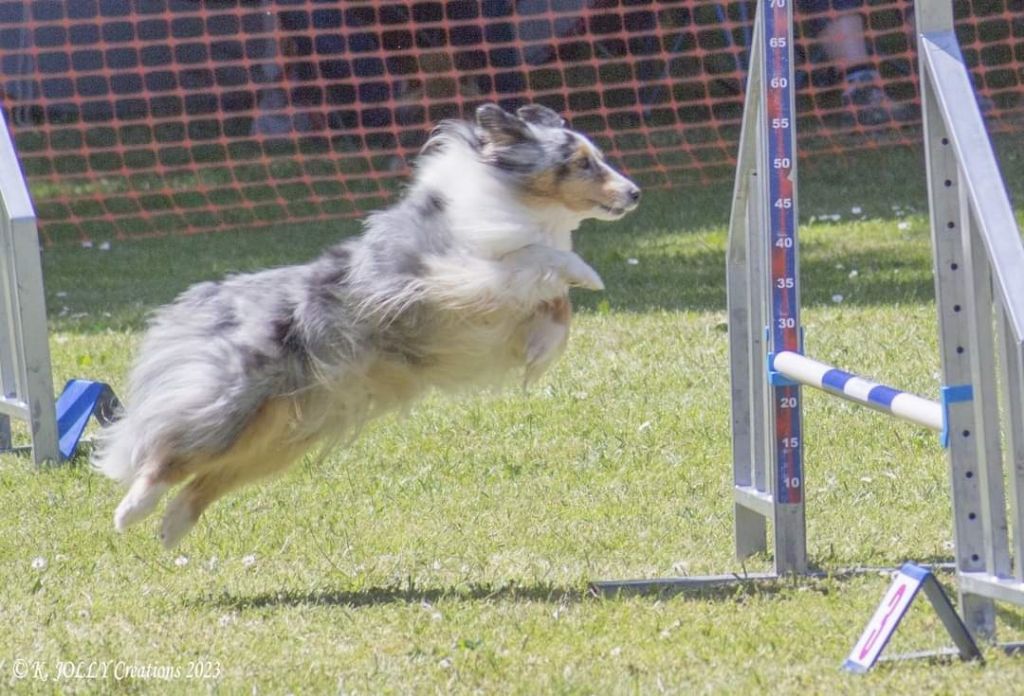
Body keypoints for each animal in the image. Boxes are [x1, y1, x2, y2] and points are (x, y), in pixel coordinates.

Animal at [94, 104, 638, 548]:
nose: (634, 193)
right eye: (582, 162)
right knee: (169, 456)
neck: (513, 198)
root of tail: (208, 300)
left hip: (280, 435)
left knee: (208, 478)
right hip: (232, 405)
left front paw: (544, 342)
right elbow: (537, 259)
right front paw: (585, 273)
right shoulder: (447, 276)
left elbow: (555, 302)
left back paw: (171, 527)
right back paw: (131, 512)